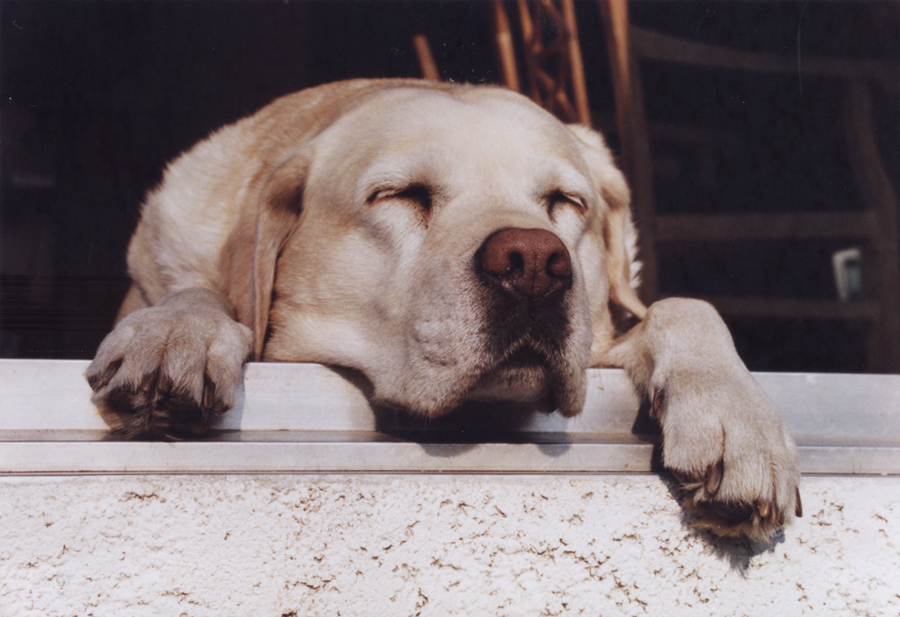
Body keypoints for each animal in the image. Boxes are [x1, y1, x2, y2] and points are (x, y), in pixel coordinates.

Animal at [84, 78, 800, 540]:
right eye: (401, 195)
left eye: (564, 203)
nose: (533, 264)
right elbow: (198, 292)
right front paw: (174, 330)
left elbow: (686, 307)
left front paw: (739, 420)